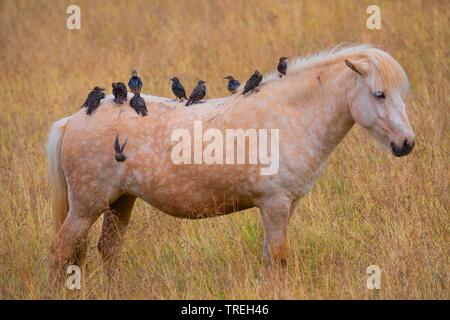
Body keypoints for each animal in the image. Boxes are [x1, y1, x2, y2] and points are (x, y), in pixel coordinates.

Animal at [46, 44, 414, 278]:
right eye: (379, 94)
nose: (406, 144)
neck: (289, 113)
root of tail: (72, 121)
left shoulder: (284, 206)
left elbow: (271, 258)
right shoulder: (275, 204)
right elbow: (277, 259)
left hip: (120, 202)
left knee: (107, 251)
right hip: (87, 207)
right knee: (60, 252)